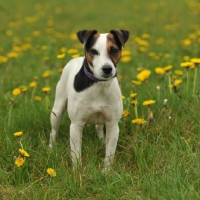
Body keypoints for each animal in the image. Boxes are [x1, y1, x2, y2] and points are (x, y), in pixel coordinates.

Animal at [49, 29, 129, 172]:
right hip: (57, 109)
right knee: (53, 131)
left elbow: (109, 153)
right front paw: (77, 172)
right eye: (93, 51)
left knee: (99, 127)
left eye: (114, 50)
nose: (107, 69)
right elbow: (76, 154)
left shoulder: (113, 125)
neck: (99, 85)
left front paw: (106, 172)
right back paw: (51, 148)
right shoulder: (76, 125)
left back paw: (101, 141)